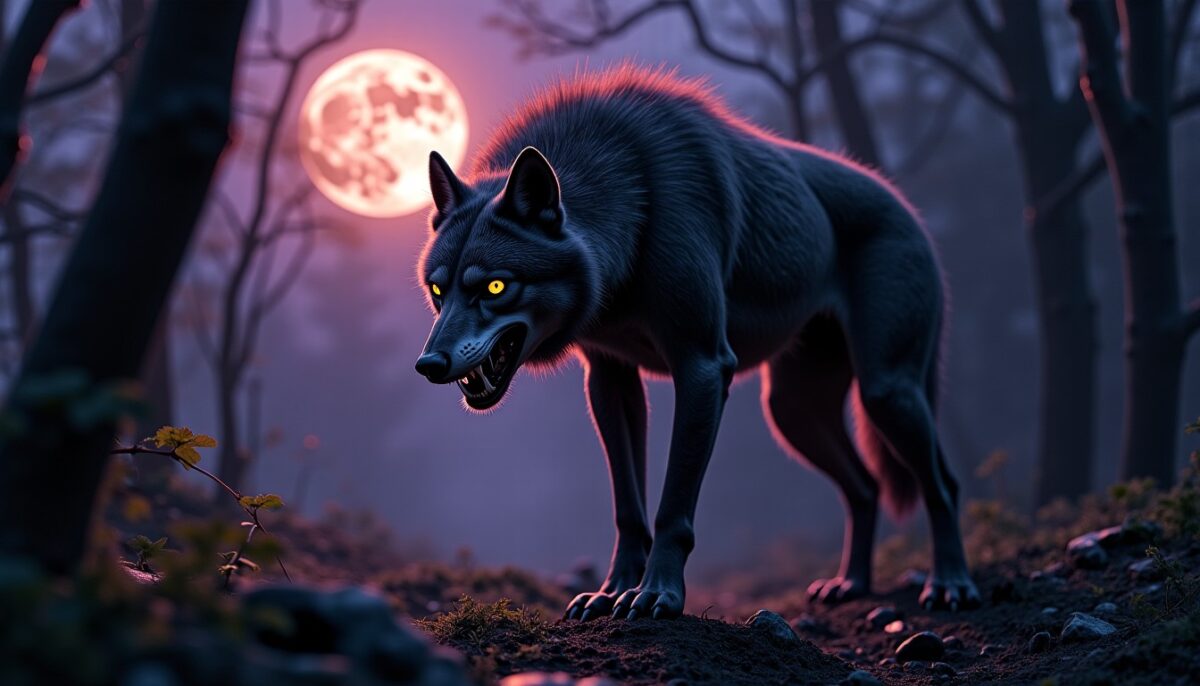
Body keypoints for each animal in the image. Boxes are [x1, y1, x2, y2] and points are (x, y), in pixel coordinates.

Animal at [414, 66, 979, 620]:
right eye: (438, 290)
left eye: (494, 287)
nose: (428, 364)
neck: (633, 210)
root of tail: (907, 207)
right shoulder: (610, 380)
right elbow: (628, 508)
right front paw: (611, 591)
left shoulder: (703, 366)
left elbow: (672, 508)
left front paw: (656, 594)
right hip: (791, 410)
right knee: (866, 488)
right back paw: (852, 585)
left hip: (886, 393)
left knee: (944, 486)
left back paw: (950, 584)